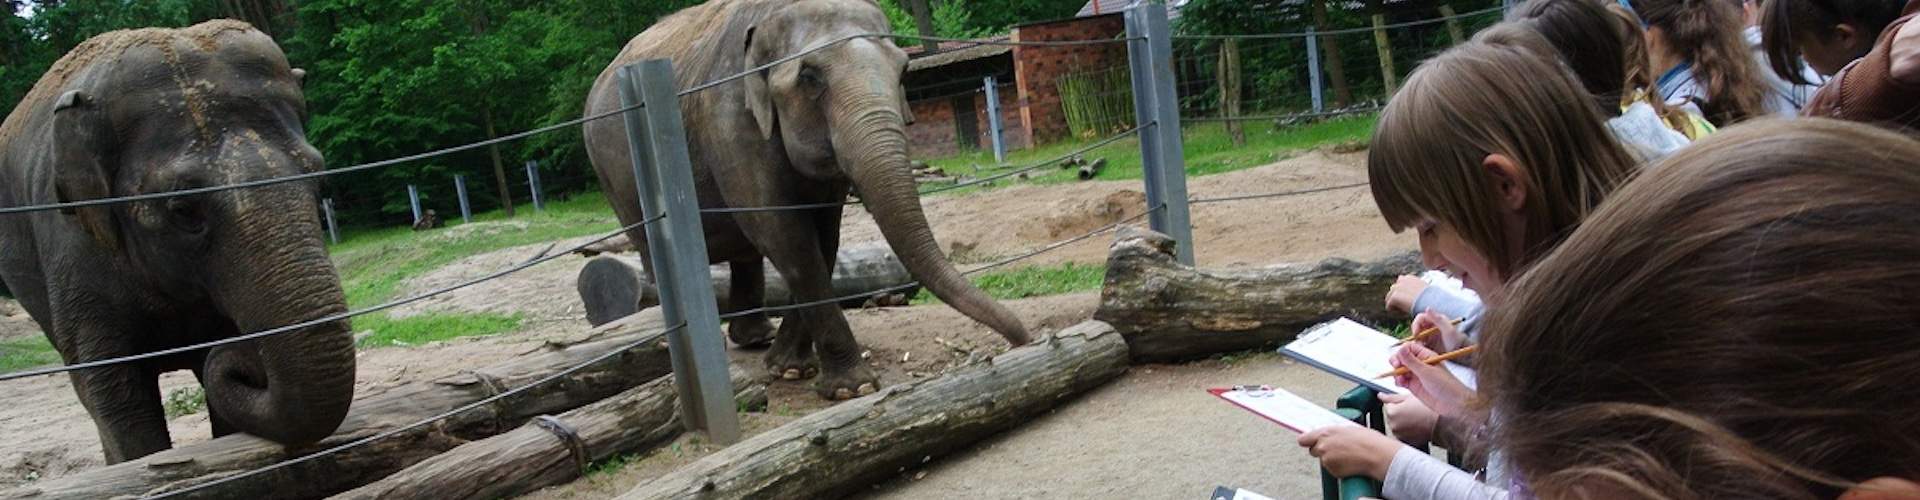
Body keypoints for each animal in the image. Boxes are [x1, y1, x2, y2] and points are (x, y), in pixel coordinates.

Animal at [583, 0, 1036, 398]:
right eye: (810, 77)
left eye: (904, 70)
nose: (1023, 340)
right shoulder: (728, 122)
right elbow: (784, 234)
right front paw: (853, 388)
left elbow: (824, 236)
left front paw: (788, 367)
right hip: (613, 176)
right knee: (658, 257)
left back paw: (756, 338)